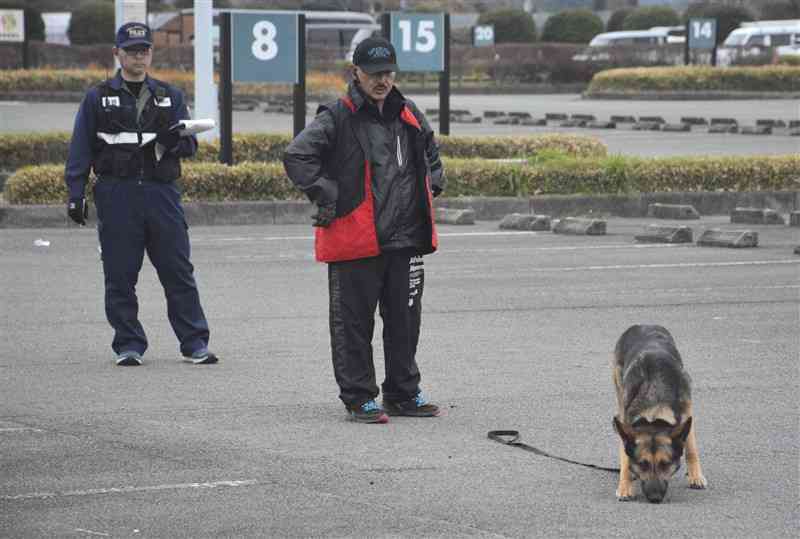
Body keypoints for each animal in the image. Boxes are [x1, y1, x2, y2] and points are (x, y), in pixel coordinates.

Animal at [612, 326, 708, 504]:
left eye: (665, 464)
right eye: (643, 464)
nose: (655, 498)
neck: (654, 405)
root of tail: (643, 324)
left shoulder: (687, 413)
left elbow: (691, 448)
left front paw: (696, 476)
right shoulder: (627, 422)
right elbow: (625, 458)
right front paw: (625, 486)